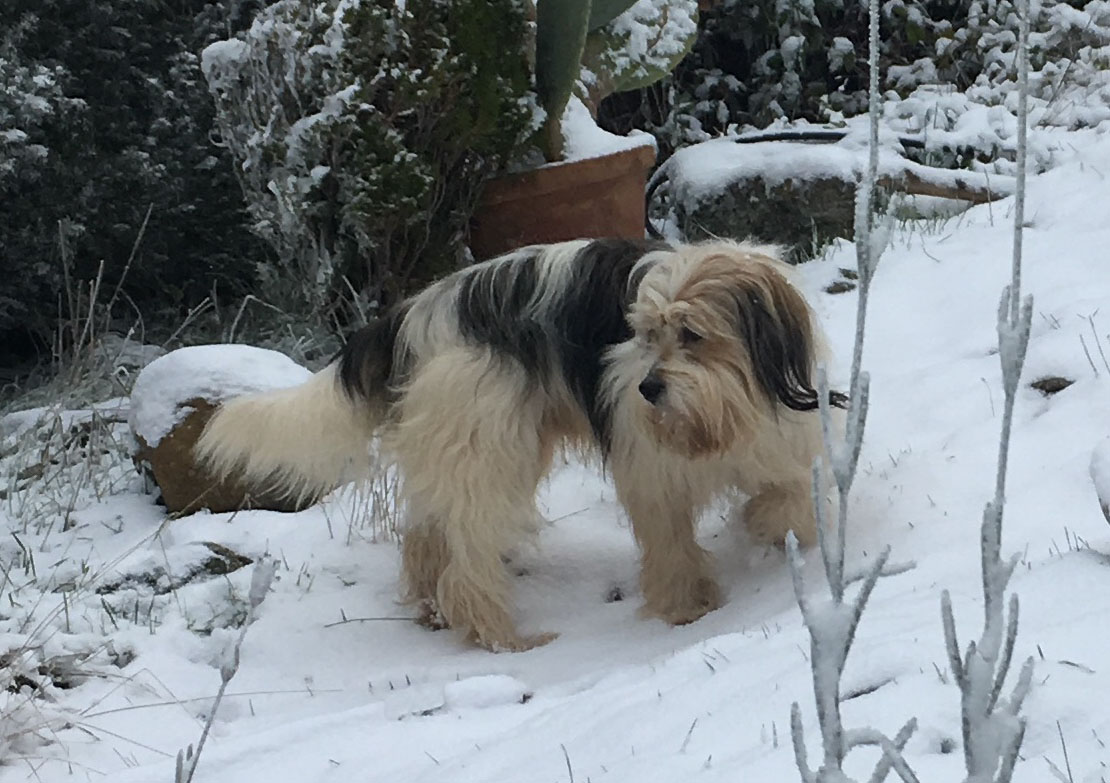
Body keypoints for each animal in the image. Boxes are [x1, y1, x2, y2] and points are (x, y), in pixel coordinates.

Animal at [195, 239, 834, 653]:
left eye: (692, 334)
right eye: (645, 334)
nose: (648, 388)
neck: (728, 402)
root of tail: (412, 314)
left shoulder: (781, 440)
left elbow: (787, 497)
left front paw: (769, 529)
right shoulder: (652, 474)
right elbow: (671, 544)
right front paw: (686, 611)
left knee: (429, 538)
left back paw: (432, 610)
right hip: (488, 446)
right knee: (468, 558)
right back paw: (503, 637)